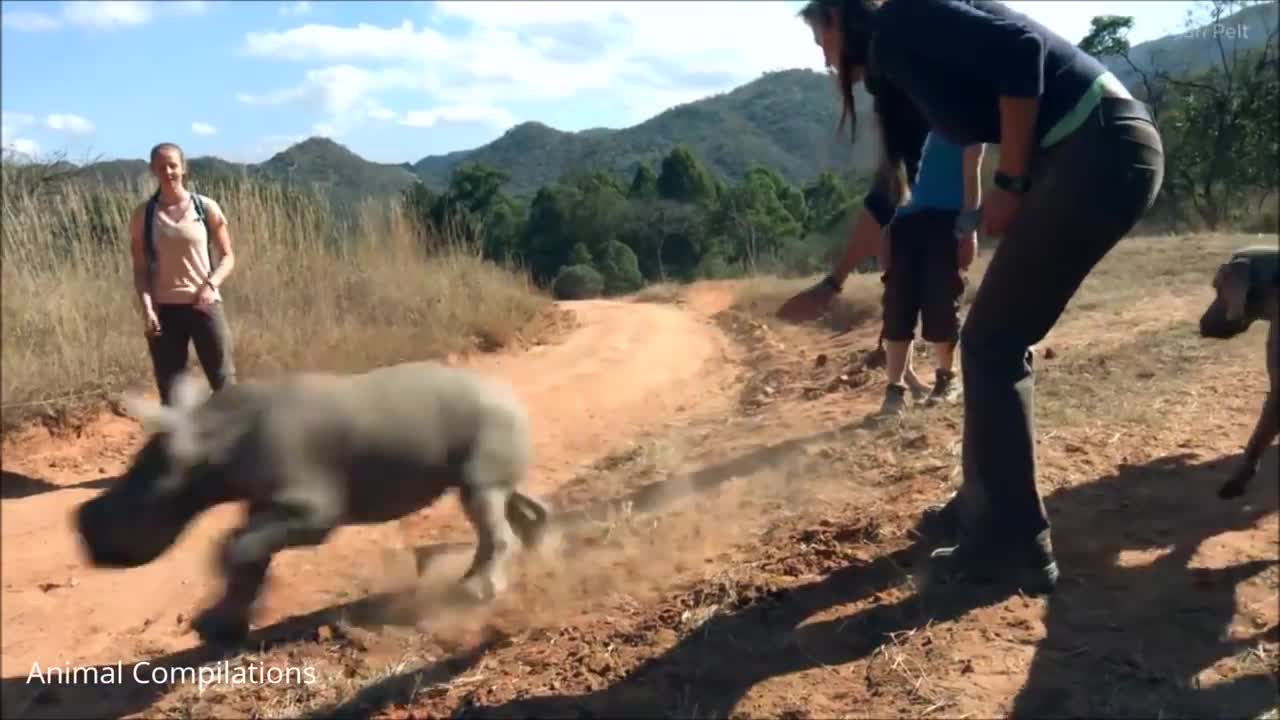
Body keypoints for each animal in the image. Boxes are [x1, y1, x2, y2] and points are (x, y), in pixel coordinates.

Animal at [74, 358, 552, 645]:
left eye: (140, 503)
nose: (82, 533)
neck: (210, 440)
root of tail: (509, 394)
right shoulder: (266, 498)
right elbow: (248, 554)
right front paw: (218, 628)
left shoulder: (313, 507)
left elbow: (235, 546)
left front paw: (221, 620)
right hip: (487, 433)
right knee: (492, 494)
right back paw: (540, 549)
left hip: (489, 420)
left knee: (483, 501)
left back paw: (475, 591)